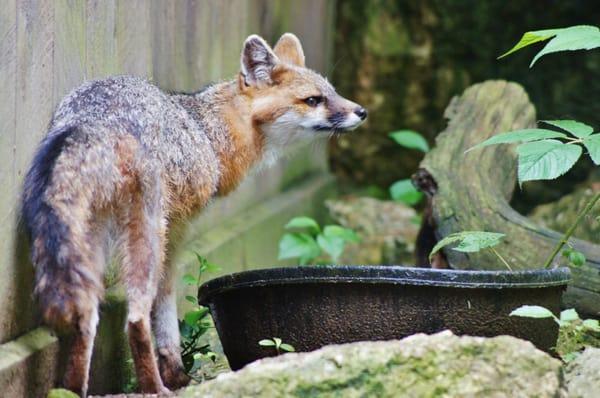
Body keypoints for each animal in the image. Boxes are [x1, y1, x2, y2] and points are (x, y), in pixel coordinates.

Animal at [22, 33, 366, 394]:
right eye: (313, 100)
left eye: (333, 92)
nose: (362, 111)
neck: (209, 132)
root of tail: (93, 118)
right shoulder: (177, 230)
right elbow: (165, 304)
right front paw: (176, 374)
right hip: (146, 234)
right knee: (135, 319)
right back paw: (154, 388)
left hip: (92, 243)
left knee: (86, 319)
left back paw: (71, 391)